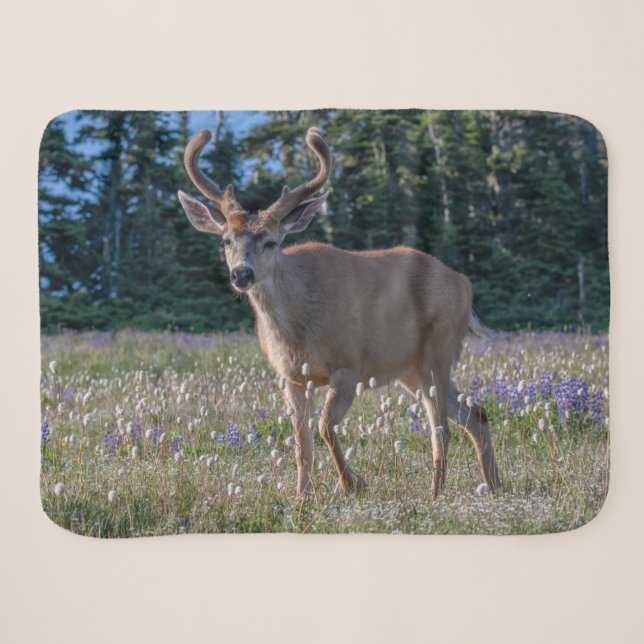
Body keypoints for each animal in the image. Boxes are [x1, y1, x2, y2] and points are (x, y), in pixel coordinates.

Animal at [177, 127, 501, 499]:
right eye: (226, 240)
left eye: (272, 241)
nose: (241, 273)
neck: (298, 326)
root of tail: (465, 284)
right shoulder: (292, 376)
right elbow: (301, 444)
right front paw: (302, 496)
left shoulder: (349, 365)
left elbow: (324, 428)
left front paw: (352, 483)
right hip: (411, 369)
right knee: (475, 413)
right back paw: (493, 484)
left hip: (438, 348)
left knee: (441, 429)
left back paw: (435, 493)